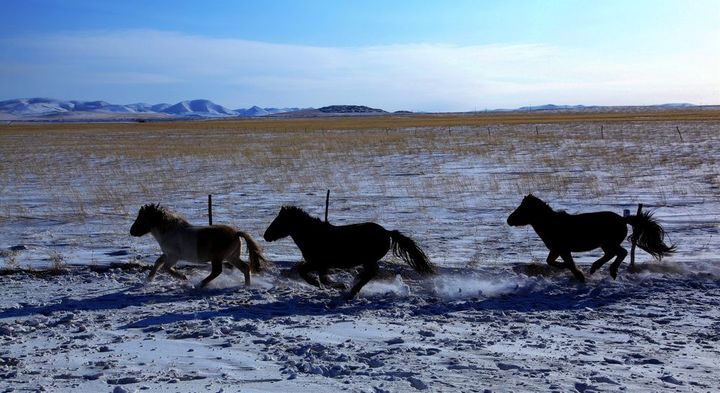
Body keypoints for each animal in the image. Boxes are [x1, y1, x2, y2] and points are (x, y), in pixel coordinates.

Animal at [129, 204, 268, 286]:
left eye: (142, 218)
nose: (131, 231)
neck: (170, 231)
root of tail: (236, 233)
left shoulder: (174, 256)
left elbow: (166, 268)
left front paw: (183, 277)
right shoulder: (167, 254)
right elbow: (158, 262)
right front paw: (149, 279)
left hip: (218, 258)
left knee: (217, 271)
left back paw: (200, 284)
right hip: (231, 257)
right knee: (245, 268)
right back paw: (246, 286)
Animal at [262, 205, 436, 298]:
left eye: (279, 221)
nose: (266, 235)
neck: (314, 235)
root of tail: (387, 232)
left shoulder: (318, 263)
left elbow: (307, 273)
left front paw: (335, 285)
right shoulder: (320, 265)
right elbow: (315, 275)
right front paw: (329, 284)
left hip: (369, 259)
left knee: (371, 272)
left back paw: (352, 291)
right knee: (369, 273)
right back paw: (354, 289)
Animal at [506, 194, 676, 280]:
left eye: (522, 209)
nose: (509, 220)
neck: (552, 224)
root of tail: (623, 219)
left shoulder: (563, 250)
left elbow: (567, 263)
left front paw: (579, 274)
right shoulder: (556, 250)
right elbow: (550, 261)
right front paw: (573, 270)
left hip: (609, 243)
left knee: (621, 252)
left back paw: (608, 270)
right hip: (605, 244)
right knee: (613, 254)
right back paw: (597, 268)